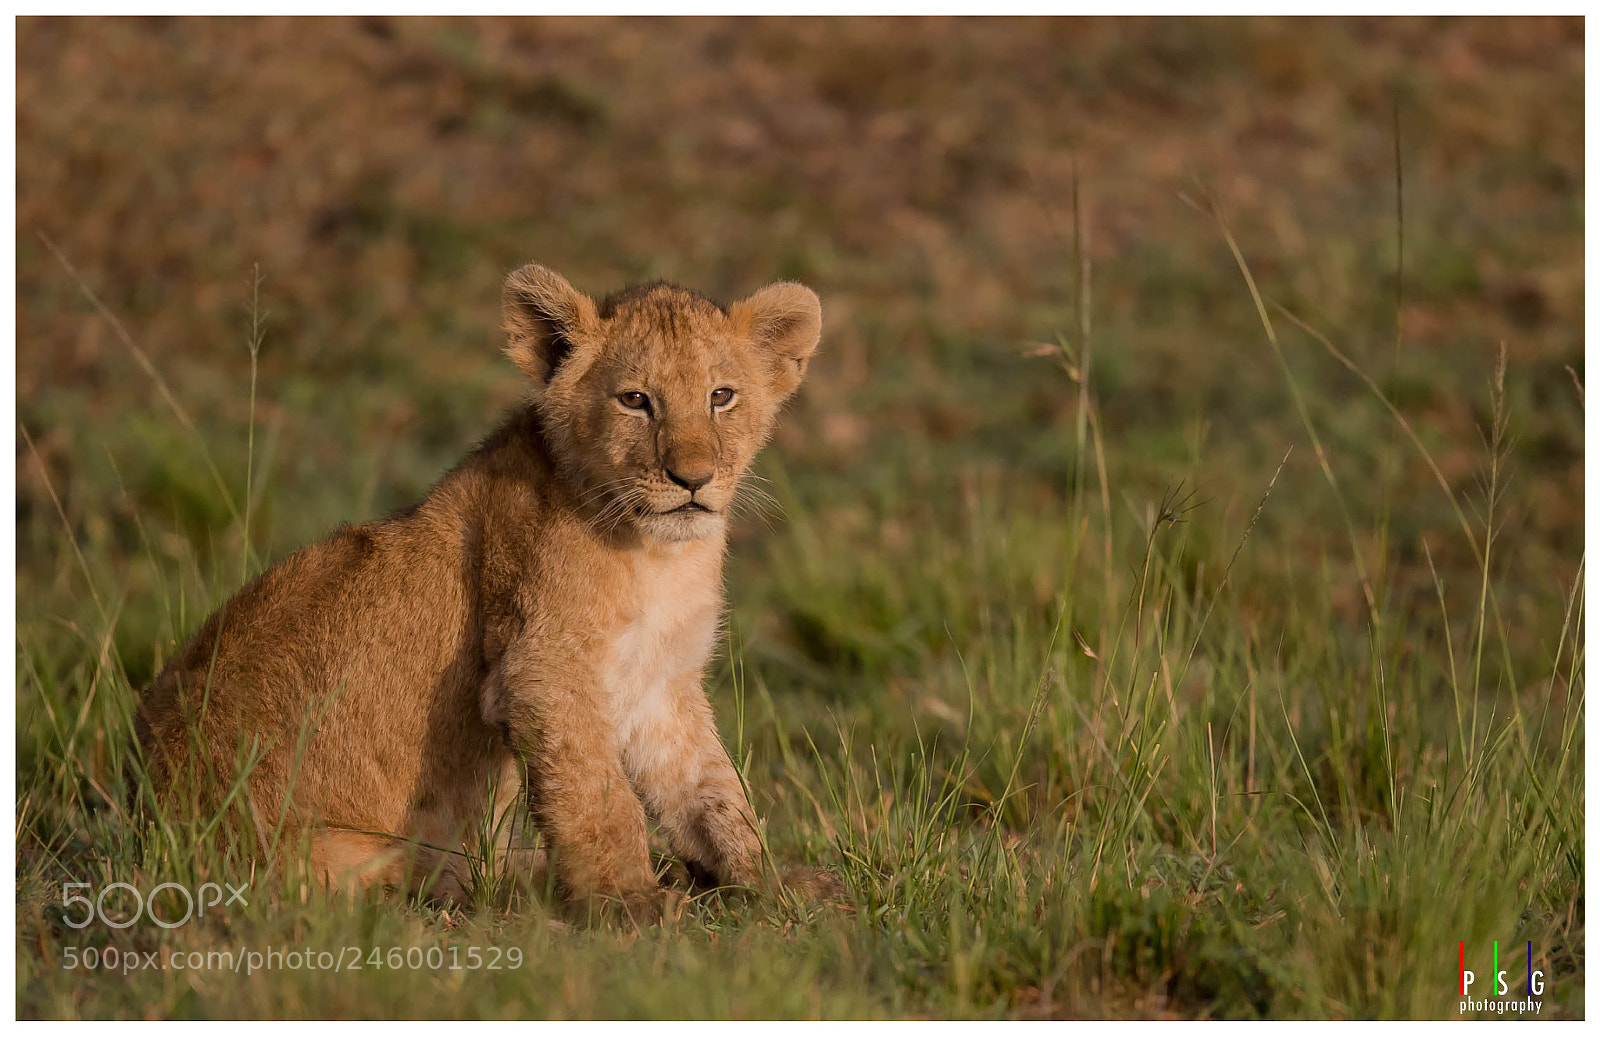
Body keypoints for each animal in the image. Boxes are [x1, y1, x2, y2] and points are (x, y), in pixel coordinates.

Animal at [133, 263, 831, 922]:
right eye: (635, 400)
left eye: (722, 396)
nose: (693, 478)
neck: (661, 555)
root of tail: (146, 824)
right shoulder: (543, 670)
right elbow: (598, 797)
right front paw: (626, 901)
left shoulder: (661, 683)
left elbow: (713, 790)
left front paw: (769, 881)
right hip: (323, 853)